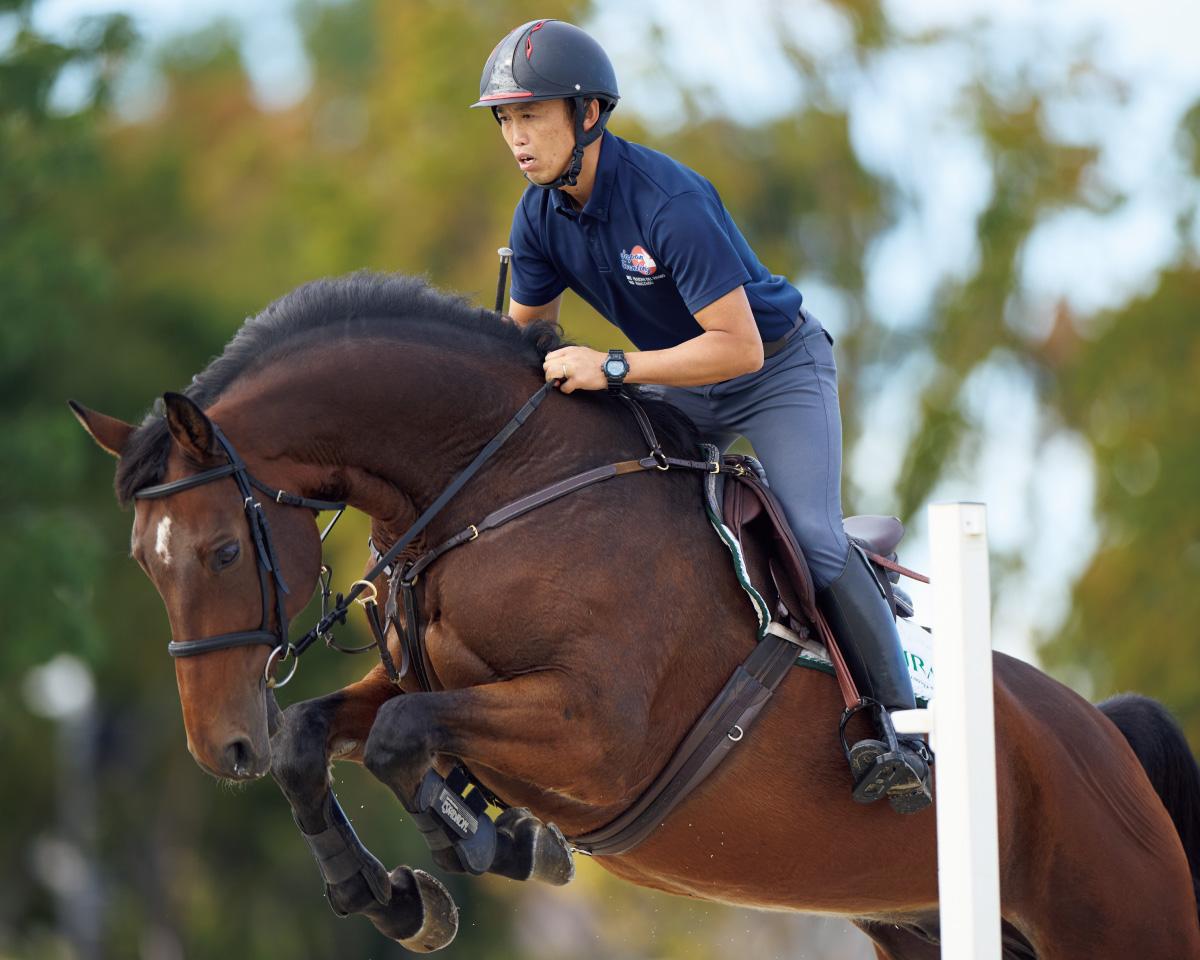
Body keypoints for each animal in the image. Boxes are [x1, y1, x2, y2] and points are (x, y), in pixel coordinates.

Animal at [72, 273, 1200, 955]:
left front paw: (488, 842)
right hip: (924, 924)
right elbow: (319, 735)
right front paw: (390, 896)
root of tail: (1104, 737)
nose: (222, 748)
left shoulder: (594, 731)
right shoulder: (425, 682)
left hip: (1119, 921)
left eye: (223, 551)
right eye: (143, 562)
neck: (503, 487)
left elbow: (398, 735)